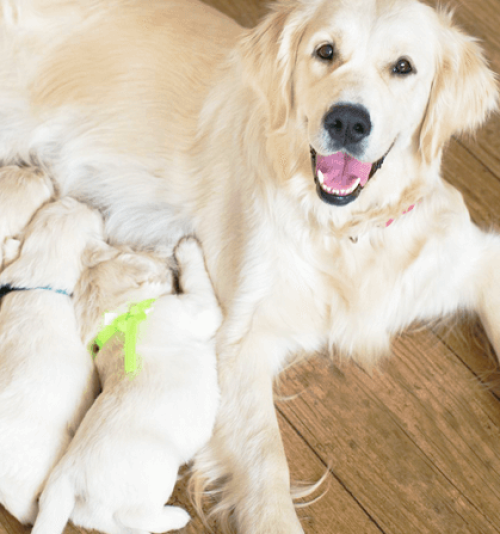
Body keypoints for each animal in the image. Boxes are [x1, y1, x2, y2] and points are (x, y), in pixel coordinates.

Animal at [34, 240, 222, 534]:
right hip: (157, 471)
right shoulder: (195, 309)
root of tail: (65, 478)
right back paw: (177, 516)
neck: (120, 315)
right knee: (137, 515)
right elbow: (199, 282)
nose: (163, 254)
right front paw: (188, 248)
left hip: (94, 513)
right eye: (135, 252)